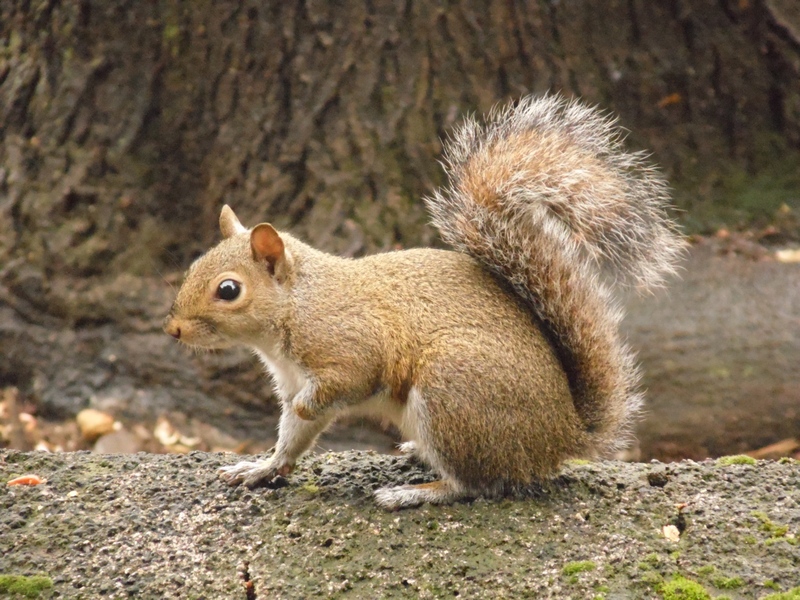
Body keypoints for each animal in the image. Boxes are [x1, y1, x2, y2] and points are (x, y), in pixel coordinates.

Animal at [162, 96, 680, 508]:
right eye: (194, 265)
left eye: (228, 290)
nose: (174, 330)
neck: (296, 306)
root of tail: (564, 434)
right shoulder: (289, 382)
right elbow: (293, 436)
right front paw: (263, 467)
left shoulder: (349, 343)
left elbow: (344, 383)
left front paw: (308, 413)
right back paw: (416, 456)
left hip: (453, 390)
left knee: (478, 484)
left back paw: (416, 492)